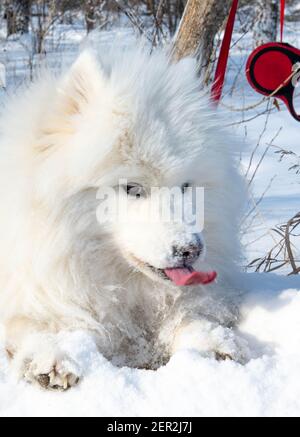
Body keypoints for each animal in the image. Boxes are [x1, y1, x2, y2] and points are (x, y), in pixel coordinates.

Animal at [0, 46, 248, 390]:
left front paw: (213, 343)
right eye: (132, 188)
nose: (191, 250)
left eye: (185, 186)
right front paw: (55, 355)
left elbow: (189, 315)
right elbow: (43, 323)